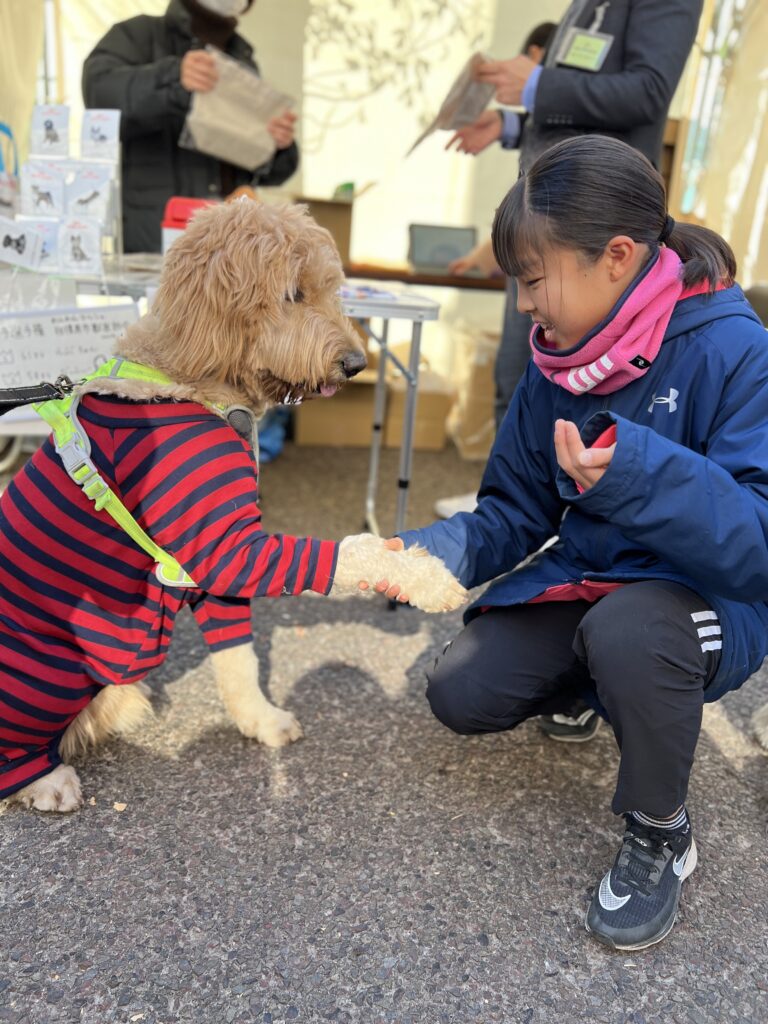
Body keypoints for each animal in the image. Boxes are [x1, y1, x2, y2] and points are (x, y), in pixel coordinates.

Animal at [3, 199, 466, 811]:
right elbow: (347, 553)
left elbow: (239, 660)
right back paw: (43, 778)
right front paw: (424, 579)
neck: (191, 380)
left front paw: (261, 721)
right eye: (293, 293)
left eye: (331, 288)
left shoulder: (209, 573)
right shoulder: (228, 550)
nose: (356, 363)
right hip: (43, 666)